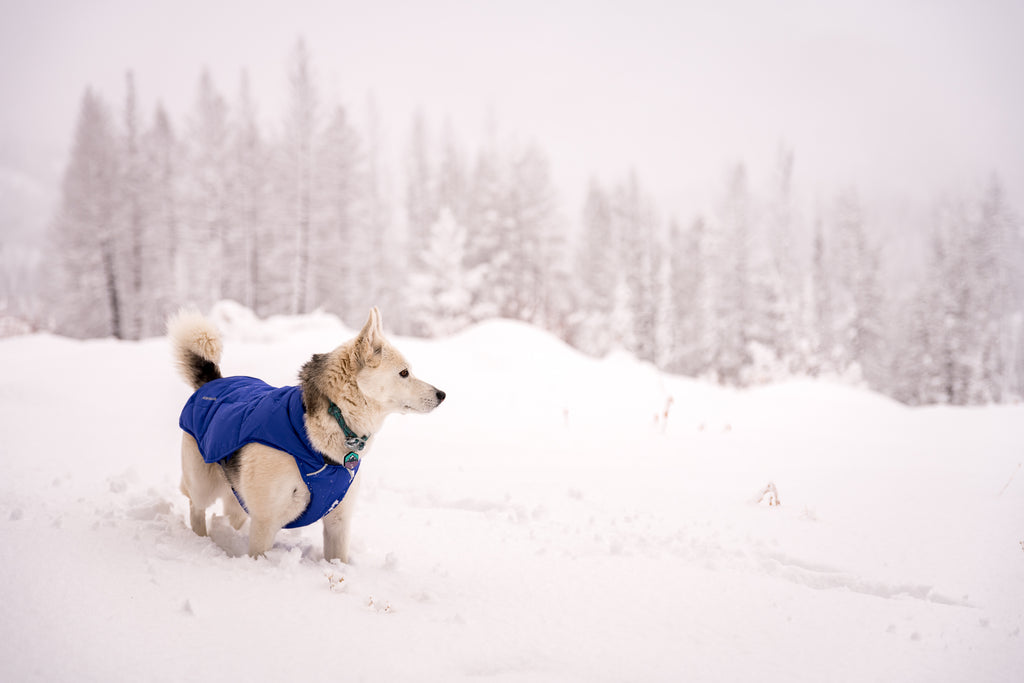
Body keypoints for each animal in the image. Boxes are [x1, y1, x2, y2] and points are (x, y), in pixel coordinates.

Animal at [165, 309, 442, 561]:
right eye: (404, 373)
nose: (443, 394)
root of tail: (213, 382)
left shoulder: (338, 522)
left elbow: (337, 559)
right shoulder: (265, 522)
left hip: (237, 495)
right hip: (202, 484)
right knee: (197, 508)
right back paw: (201, 540)